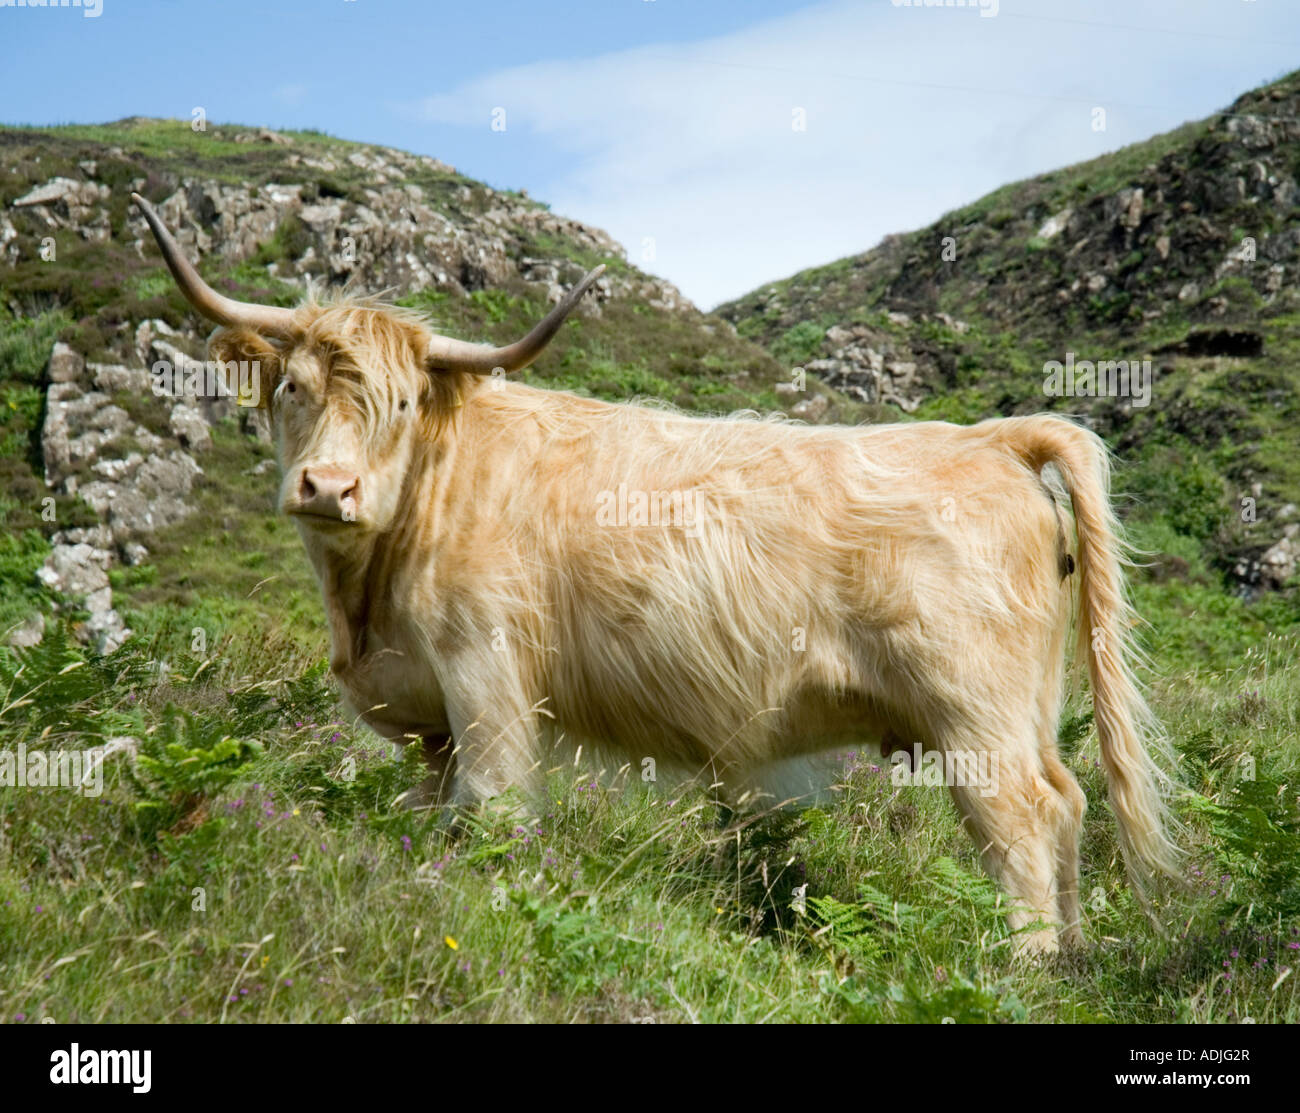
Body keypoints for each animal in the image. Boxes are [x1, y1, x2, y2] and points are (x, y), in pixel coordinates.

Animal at [133, 192, 1179, 953]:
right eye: (293, 388)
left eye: (396, 404)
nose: (327, 486)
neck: (366, 602)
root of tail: (991, 436)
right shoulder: (429, 719)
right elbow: (429, 815)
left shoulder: (489, 682)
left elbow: (493, 815)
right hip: (1025, 712)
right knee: (1070, 803)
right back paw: (1072, 960)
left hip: (975, 719)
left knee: (1023, 825)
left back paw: (1025, 969)